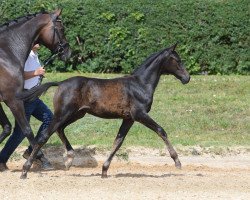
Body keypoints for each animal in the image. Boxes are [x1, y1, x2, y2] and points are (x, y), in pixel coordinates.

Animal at [18, 43, 189, 178]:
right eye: (177, 60)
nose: (187, 78)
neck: (140, 84)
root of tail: (61, 83)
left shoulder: (128, 118)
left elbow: (118, 141)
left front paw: (104, 170)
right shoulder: (139, 114)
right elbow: (161, 131)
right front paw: (177, 162)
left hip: (77, 114)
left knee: (60, 129)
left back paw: (69, 159)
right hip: (64, 113)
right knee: (44, 136)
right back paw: (25, 170)